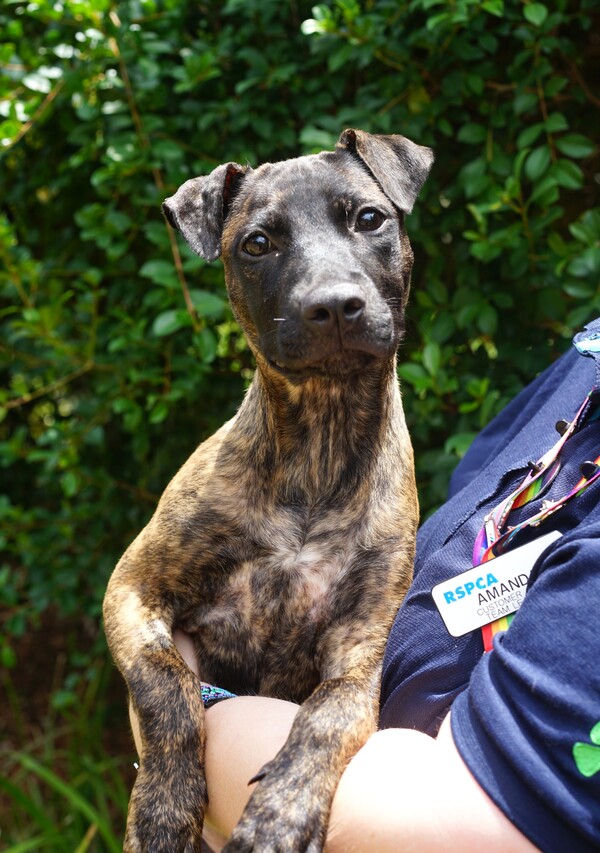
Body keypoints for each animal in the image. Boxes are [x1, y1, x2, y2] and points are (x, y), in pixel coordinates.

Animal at [103, 128, 432, 852]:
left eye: (370, 218)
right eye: (258, 243)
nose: (334, 305)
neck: (317, 449)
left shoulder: (359, 648)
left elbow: (327, 714)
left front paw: (281, 811)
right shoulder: (132, 589)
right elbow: (166, 688)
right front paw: (164, 808)